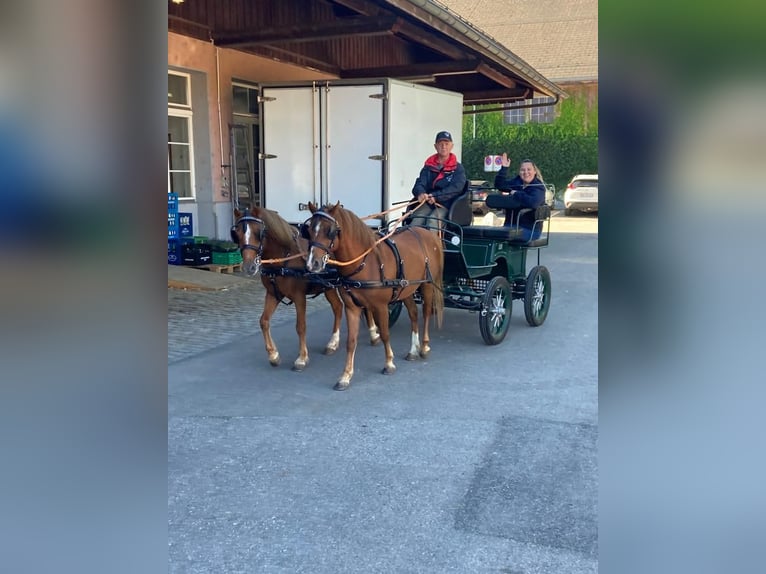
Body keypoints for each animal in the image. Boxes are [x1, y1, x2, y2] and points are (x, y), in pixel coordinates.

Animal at [231, 208, 380, 374]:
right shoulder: (273, 294)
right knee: (337, 307)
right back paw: (333, 343)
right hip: (329, 287)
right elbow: (263, 321)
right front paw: (273, 355)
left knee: (362, 307)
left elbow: (300, 326)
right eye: (236, 233)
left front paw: (301, 358)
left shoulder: (299, 297)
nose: (248, 266)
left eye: (259, 232)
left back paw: (373, 334)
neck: (284, 258)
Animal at [304, 202, 444, 392]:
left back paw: (424, 346)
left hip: (428, 285)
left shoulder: (380, 306)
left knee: (427, 313)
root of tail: (428, 234)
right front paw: (345, 376)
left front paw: (389, 363)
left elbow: (384, 333)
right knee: (414, 314)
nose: (313, 264)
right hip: (406, 289)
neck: (364, 262)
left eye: (330, 231)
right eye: (309, 229)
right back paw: (413, 350)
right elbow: (351, 341)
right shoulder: (352, 308)